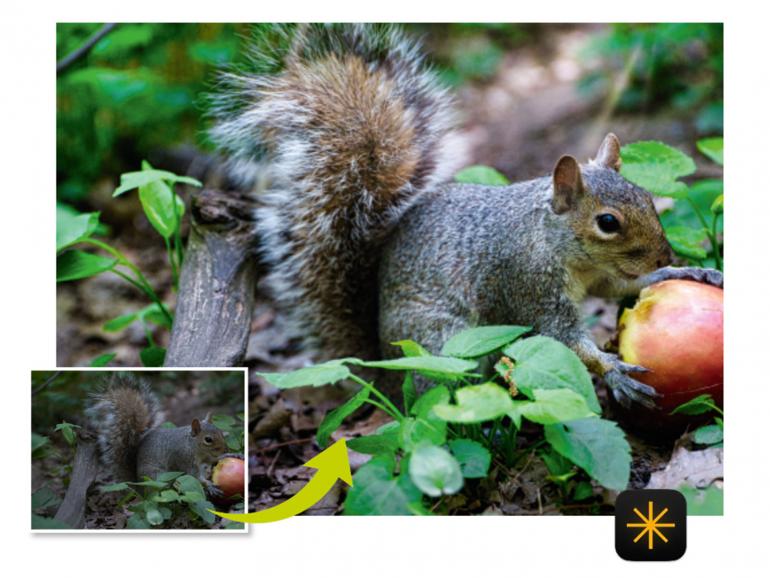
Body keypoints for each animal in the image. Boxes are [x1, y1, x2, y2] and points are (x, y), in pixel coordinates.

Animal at [210, 24, 720, 404]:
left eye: (647, 196)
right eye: (608, 222)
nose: (662, 255)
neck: (551, 241)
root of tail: (384, 371)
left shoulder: (598, 278)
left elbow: (622, 287)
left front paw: (684, 272)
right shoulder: (525, 282)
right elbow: (564, 338)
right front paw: (614, 371)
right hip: (447, 347)